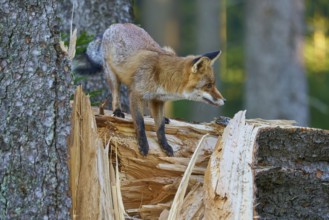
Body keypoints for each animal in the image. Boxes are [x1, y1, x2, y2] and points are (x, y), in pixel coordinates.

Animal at [75, 22, 224, 156]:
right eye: (208, 85)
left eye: (214, 84)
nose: (224, 100)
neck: (162, 80)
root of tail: (116, 25)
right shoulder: (135, 94)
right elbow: (140, 123)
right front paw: (143, 145)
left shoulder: (158, 101)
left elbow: (160, 127)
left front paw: (165, 145)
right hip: (112, 76)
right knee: (116, 94)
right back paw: (117, 111)